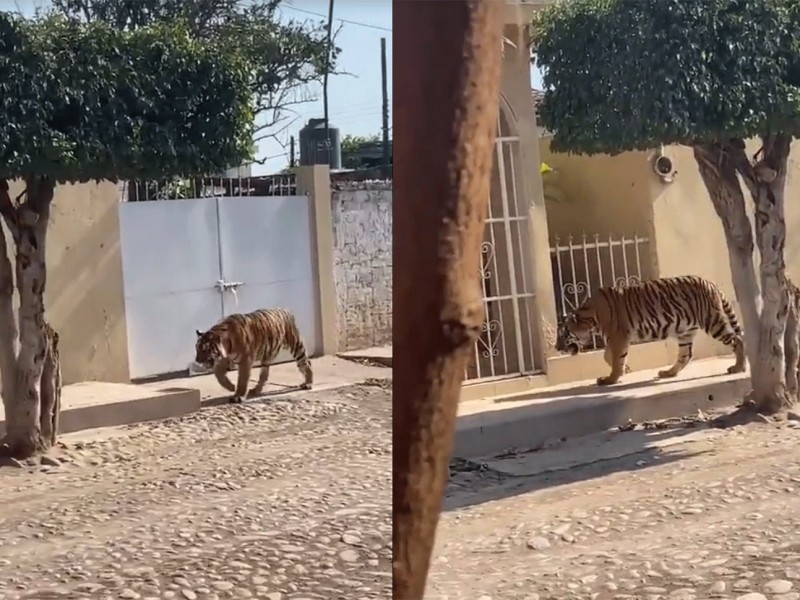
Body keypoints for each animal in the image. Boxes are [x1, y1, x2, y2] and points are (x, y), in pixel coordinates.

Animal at [560, 276, 748, 386]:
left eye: (563, 333)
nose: (557, 347)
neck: (590, 318)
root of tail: (711, 283)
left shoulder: (618, 336)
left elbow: (616, 358)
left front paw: (611, 379)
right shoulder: (615, 338)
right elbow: (608, 356)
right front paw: (626, 369)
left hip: (712, 321)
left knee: (737, 340)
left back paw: (738, 367)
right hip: (685, 331)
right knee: (685, 355)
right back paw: (668, 373)